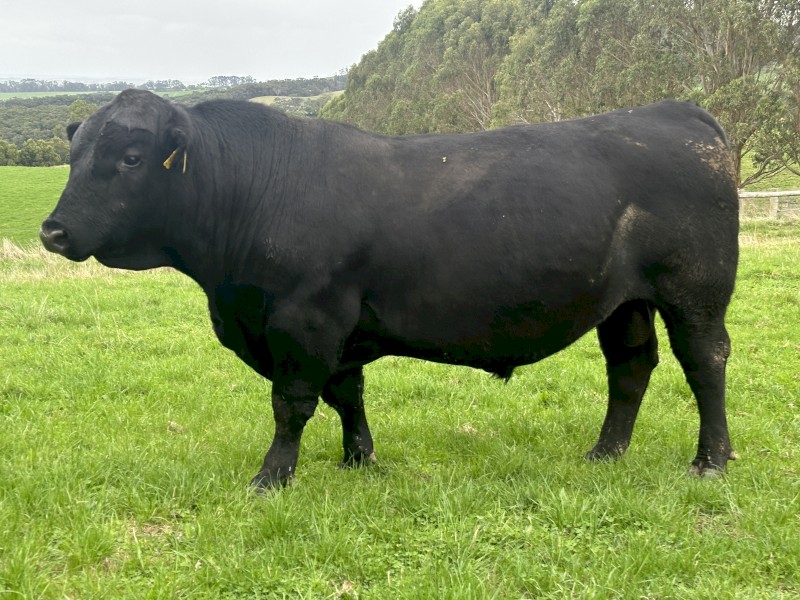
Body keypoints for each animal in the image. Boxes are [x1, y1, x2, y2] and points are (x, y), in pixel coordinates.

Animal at [40, 90, 739, 490]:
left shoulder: (305, 320)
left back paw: (710, 460)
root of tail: (675, 111)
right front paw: (359, 460)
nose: (52, 230)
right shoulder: (336, 327)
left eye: (131, 158)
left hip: (695, 290)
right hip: (623, 301)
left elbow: (293, 403)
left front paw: (272, 477)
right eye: (73, 155)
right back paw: (606, 453)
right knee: (631, 366)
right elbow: (347, 394)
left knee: (704, 361)